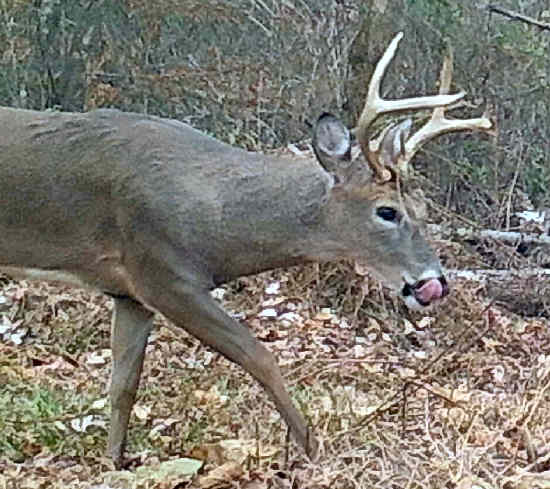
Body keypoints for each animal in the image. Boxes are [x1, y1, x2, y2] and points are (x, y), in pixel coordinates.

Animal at [0, 32, 492, 468]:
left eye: (424, 208)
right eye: (387, 211)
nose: (433, 282)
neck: (217, 222)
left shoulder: (129, 293)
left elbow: (123, 387)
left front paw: (113, 464)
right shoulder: (163, 273)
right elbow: (259, 355)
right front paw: (313, 452)